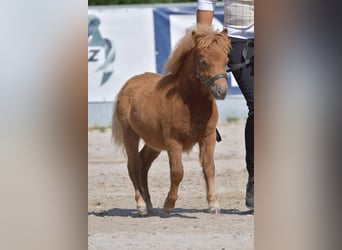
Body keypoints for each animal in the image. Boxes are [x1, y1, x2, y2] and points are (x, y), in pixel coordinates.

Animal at [112, 26, 230, 215]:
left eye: (226, 60)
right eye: (203, 61)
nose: (221, 91)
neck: (190, 103)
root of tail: (128, 85)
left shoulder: (208, 137)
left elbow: (209, 168)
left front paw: (214, 204)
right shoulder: (173, 142)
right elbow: (177, 172)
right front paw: (168, 205)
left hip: (153, 142)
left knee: (144, 164)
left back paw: (149, 203)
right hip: (130, 134)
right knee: (134, 165)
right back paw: (141, 205)